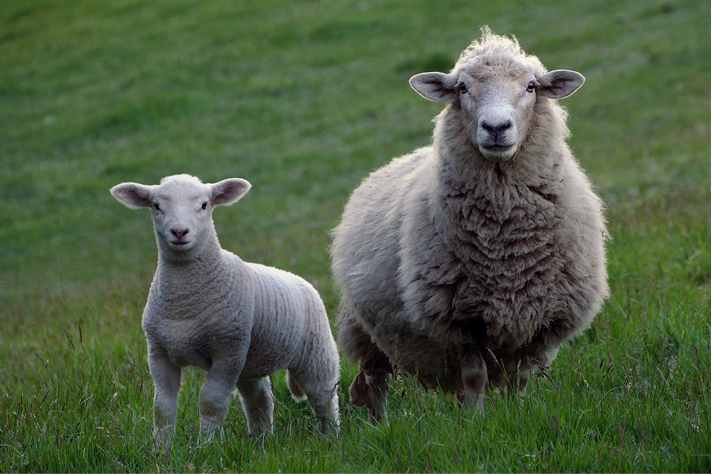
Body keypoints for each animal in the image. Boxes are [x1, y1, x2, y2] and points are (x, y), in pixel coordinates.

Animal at [111, 174, 342, 446]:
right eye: (156, 206)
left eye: (204, 205)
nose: (179, 232)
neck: (183, 304)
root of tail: (302, 281)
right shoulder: (159, 353)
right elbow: (162, 407)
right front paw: (161, 449)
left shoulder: (227, 351)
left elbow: (211, 402)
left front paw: (206, 446)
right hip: (251, 361)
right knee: (259, 400)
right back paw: (260, 440)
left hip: (315, 351)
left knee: (324, 395)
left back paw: (330, 437)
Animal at [330, 27, 608, 420]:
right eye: (462, 88)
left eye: (531, 87)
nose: (496, 127)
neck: (507, 245)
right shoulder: (460, 320)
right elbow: (475, 376)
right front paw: (476, 422)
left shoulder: (541, 319)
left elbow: (520, 378)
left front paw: (515, 415)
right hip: (365, 329)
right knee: (375, 381)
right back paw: (380, 425)